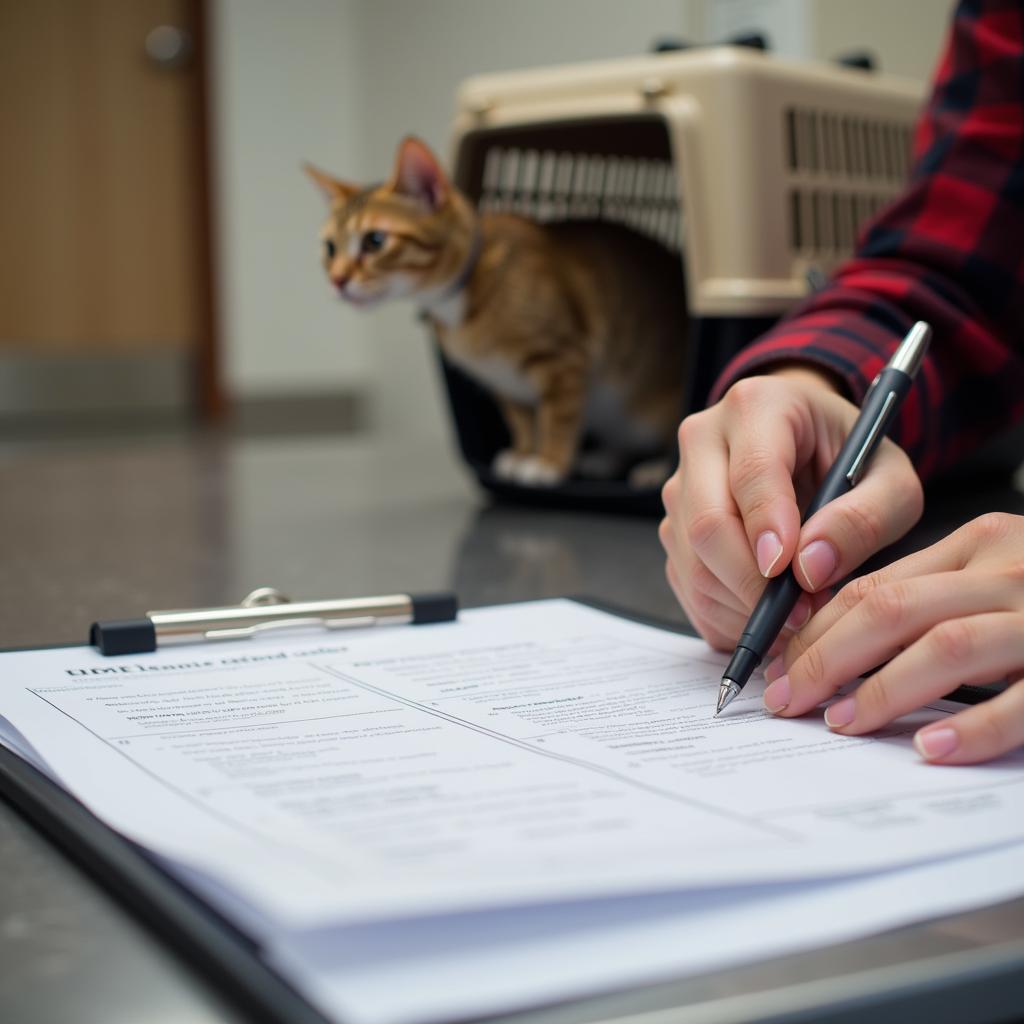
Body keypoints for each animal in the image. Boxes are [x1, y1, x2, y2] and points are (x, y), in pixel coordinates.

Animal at [303, 138, 688, 485]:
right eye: (330, 248)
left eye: (375, 241)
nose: (337, 280)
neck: (461, 301)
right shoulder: (504, 380)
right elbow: (522, 420)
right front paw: (524, 454)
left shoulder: (564, 359)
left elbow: (558, 418)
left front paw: (549, 463)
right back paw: (604, 458)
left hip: (652, 407)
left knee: (667, 440)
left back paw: (654, 469)